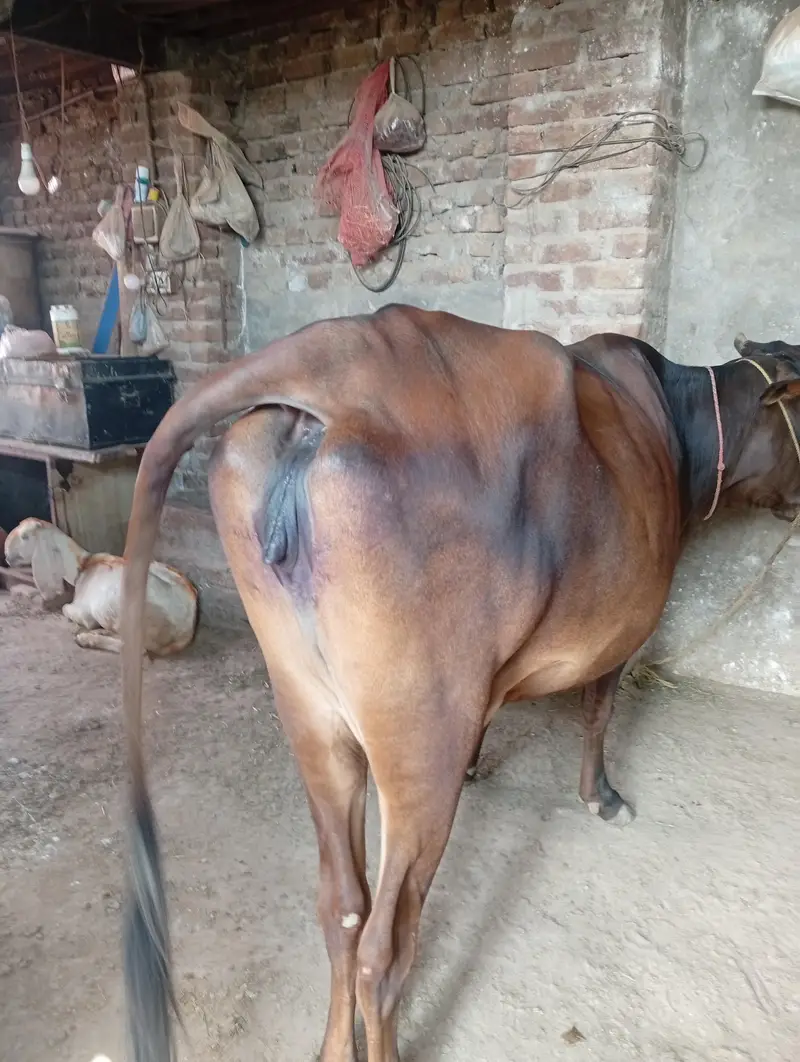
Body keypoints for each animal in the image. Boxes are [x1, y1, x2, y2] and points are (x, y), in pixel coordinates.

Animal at [119, 307, 800, 1062]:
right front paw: (603, 797)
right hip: (420, 733)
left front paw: (487, 765)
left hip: (309, 709)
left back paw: (333, 1046)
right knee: (384, 950)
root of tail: (342, 347)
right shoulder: (622, 631)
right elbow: (599, 712)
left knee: (341, 909)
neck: (680, 430)